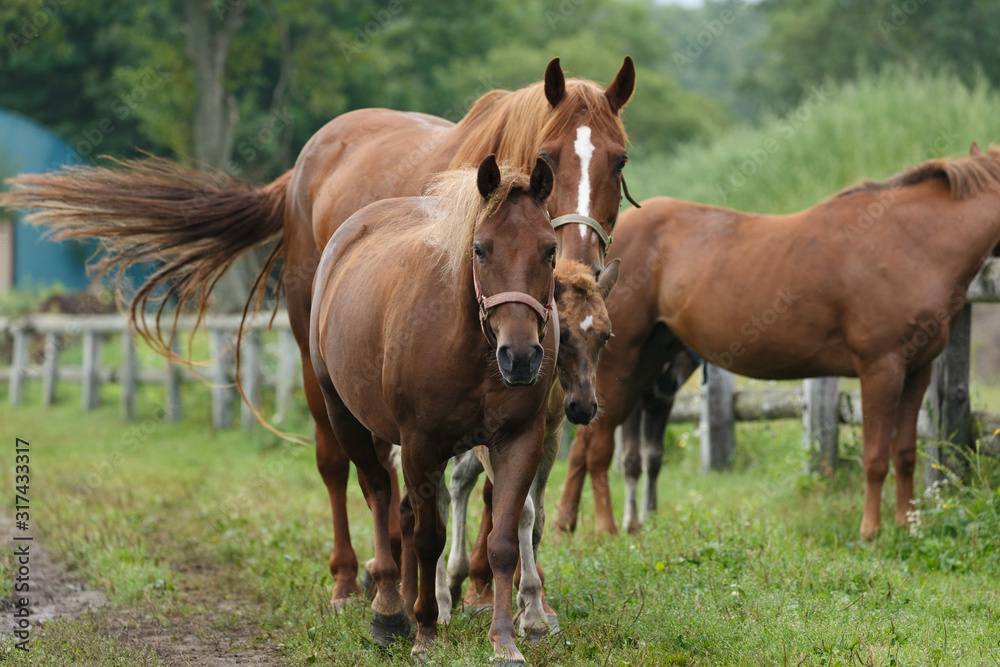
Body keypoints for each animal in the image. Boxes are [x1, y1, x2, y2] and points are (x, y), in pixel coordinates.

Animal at [308, 157, 556, 664]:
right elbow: (429, 539)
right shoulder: (423, 445)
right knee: (378, 493)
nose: (521, 357)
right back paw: (389, 610)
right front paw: (425, 630)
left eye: (550, 249)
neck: (473, 346)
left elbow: (503, 541)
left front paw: (504, 639)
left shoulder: (519, 440)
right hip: (345, 417)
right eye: (480, 249)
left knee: (400, 509)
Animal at [446, 258, 616, 640]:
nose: (584, 407)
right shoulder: (493, 441)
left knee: (458, 481)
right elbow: (521, 511)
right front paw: (531, 611)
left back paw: (452, 579)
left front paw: (531, 604)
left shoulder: (549, 438)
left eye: (606, 335)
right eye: (564, 335)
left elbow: (537, 516)